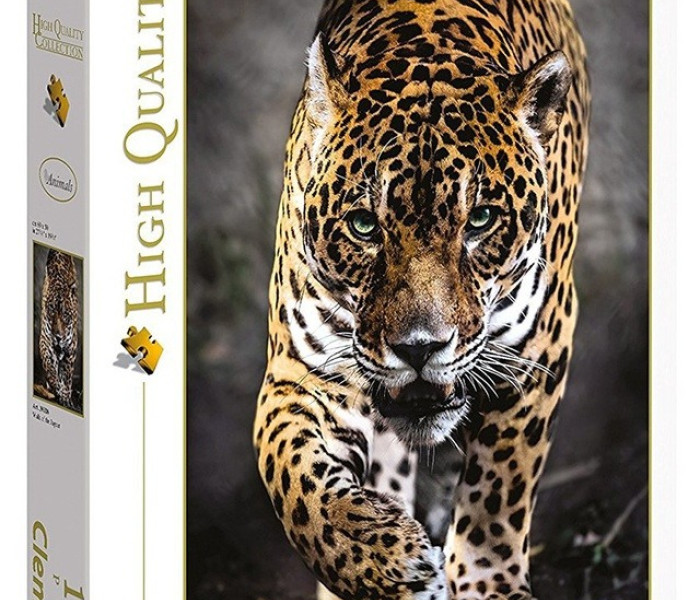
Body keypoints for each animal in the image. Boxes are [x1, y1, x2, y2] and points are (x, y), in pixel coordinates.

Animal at [39, 249, 80, 411]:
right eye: (51, 311)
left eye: (65, 314)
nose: (57, 337)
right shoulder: (44, 341)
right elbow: (50, 366)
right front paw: (55, 385)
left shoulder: (70, 348)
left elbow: (67, 376)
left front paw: (65, 397)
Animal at [253, 1, 590, 598]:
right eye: (364, 225)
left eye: (480, 220)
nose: (419, 348)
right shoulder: (302, 372)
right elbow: (292, 478)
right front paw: (384, 559)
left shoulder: (538, 352)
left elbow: (498, 491)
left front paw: (488, 582)